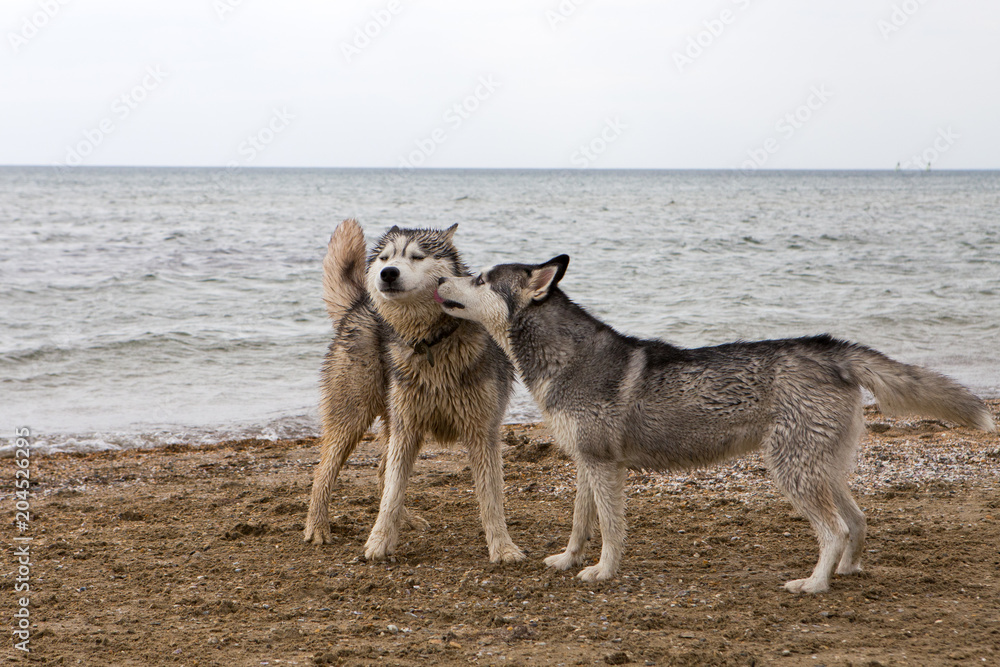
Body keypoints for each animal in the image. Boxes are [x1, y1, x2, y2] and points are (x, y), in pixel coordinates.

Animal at [303, 219, 524, 564]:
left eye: (417, 257)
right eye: (385, 258)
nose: (388, 273)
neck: (432, 342)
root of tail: (359, 303)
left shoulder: (483, 432)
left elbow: (491, 499)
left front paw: (502, 547)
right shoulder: (407, 428)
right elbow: (392, 492)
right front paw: (379, 542)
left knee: (382, 472)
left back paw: (405, 520)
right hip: (354, 416)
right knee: (325, 471)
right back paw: (318, 526)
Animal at [435, 254, 996, 593]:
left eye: (480, 279)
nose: (439, 278)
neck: (567, 359)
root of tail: (829, 348)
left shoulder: (604, 469)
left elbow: (612, 531)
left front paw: (603, 571)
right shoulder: (587, 466)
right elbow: (580, 525)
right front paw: (570, 561)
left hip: (792, 472)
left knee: (835, 530)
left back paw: (816, 584)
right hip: (820, 468)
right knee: (857, 522)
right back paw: (847, 571)